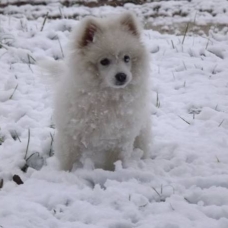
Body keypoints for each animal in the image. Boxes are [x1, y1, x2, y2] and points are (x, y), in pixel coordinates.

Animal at [54, 12, 151, 169]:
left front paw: (113, 172)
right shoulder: (71, 134)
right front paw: (64, 173)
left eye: (127, 58)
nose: (122, 76)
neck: (107, 97)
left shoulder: (120, 138)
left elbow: (114, 162)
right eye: (104, 61)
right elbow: (68, 160)